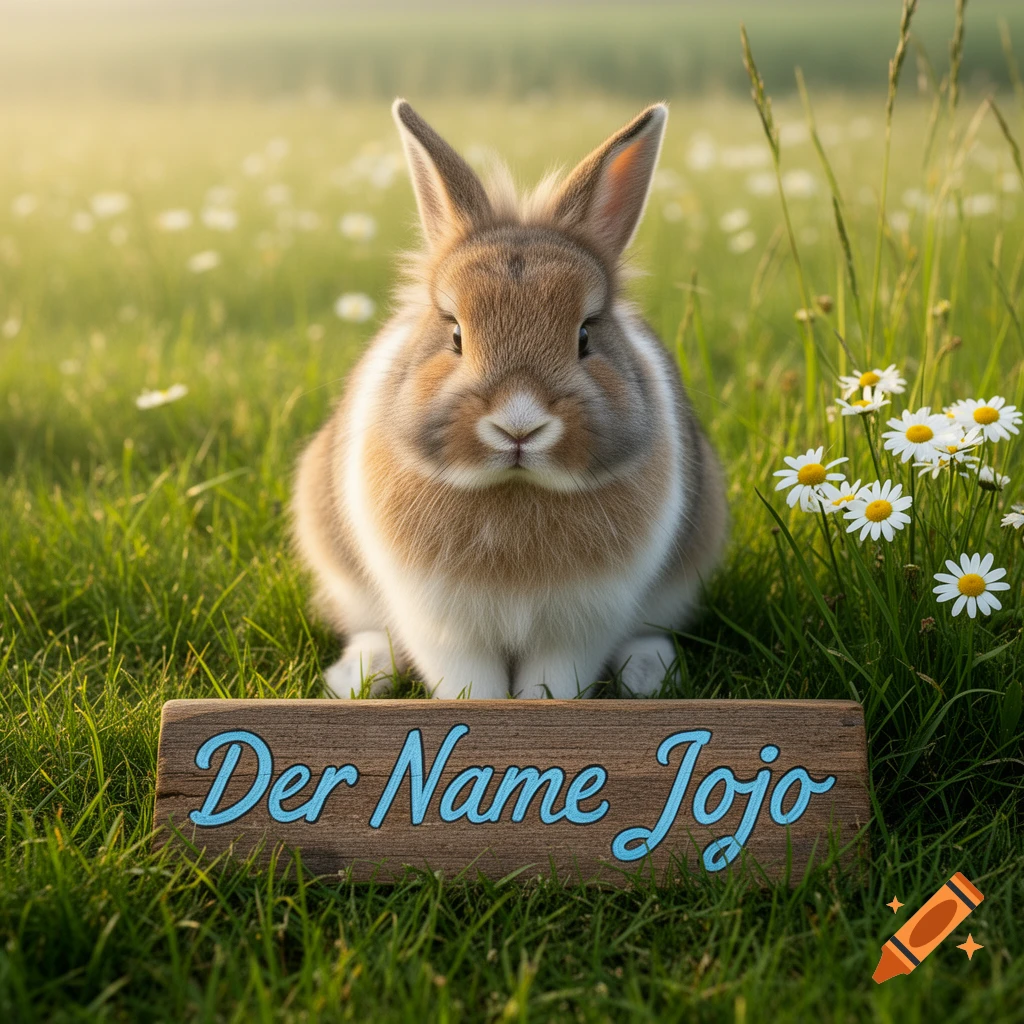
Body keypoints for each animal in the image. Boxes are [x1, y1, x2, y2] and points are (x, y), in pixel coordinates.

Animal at [291, 99, 728, 700]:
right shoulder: (442, 625)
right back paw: (359, 675)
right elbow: (470, 682)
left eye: (585, 336)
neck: (515, 489)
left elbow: (555, 681)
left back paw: (648, 675)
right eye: (455, 334)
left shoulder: (580, 626)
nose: (519, 425)